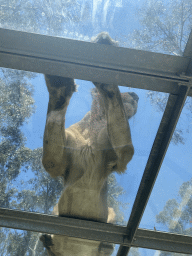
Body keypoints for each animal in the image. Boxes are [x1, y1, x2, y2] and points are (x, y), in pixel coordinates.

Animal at [40, 32, 139, 256]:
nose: (136, 95)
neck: (95, 125)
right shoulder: (56, 161)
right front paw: (60, 86)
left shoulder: (121, 156)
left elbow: (119, 121)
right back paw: (46, 238)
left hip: (110, 212)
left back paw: (105, 245)